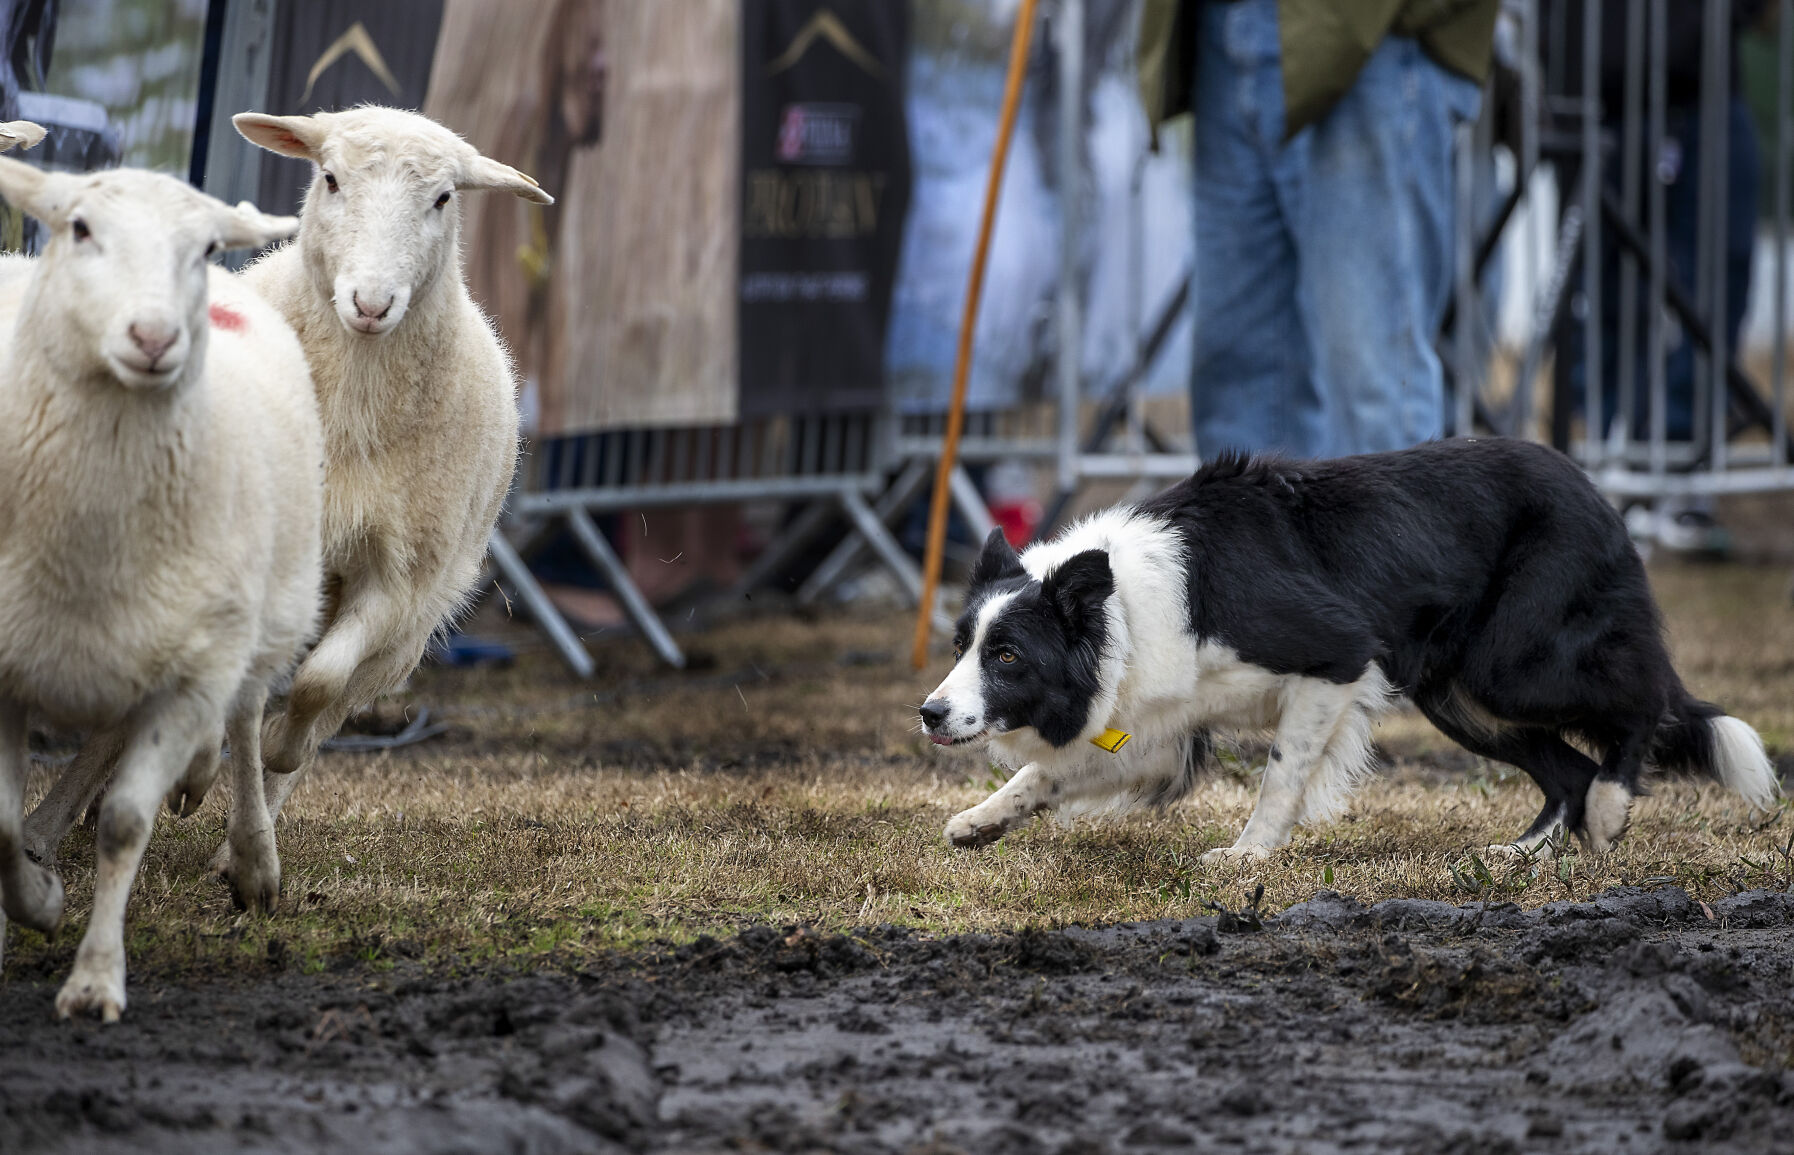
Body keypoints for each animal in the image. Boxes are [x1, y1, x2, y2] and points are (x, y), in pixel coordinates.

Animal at [0, 162, 324, 1018]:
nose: (153, 338)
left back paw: (252, 860)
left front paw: (93, 976)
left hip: (250, 614)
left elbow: (123, 822)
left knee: (244, 720)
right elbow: (2, 823)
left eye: (204, 247)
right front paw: (39, 899)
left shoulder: (190, 673)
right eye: (78, 228)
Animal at [925, 437, 1779, 860]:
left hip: (1513, 665)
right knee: (1565, 768)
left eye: (1008, 656)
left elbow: (1282, 772)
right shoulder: (1159, 724)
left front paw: (1247, 857)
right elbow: (1048, 771)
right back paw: (1520, 854)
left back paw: (1609, 807)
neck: (1121, 607)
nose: (929, 713)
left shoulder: (1333, 659)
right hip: (1456, 696)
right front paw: (979, 821)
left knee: (1643, 702)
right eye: (961, 643)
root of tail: (1596, 488)